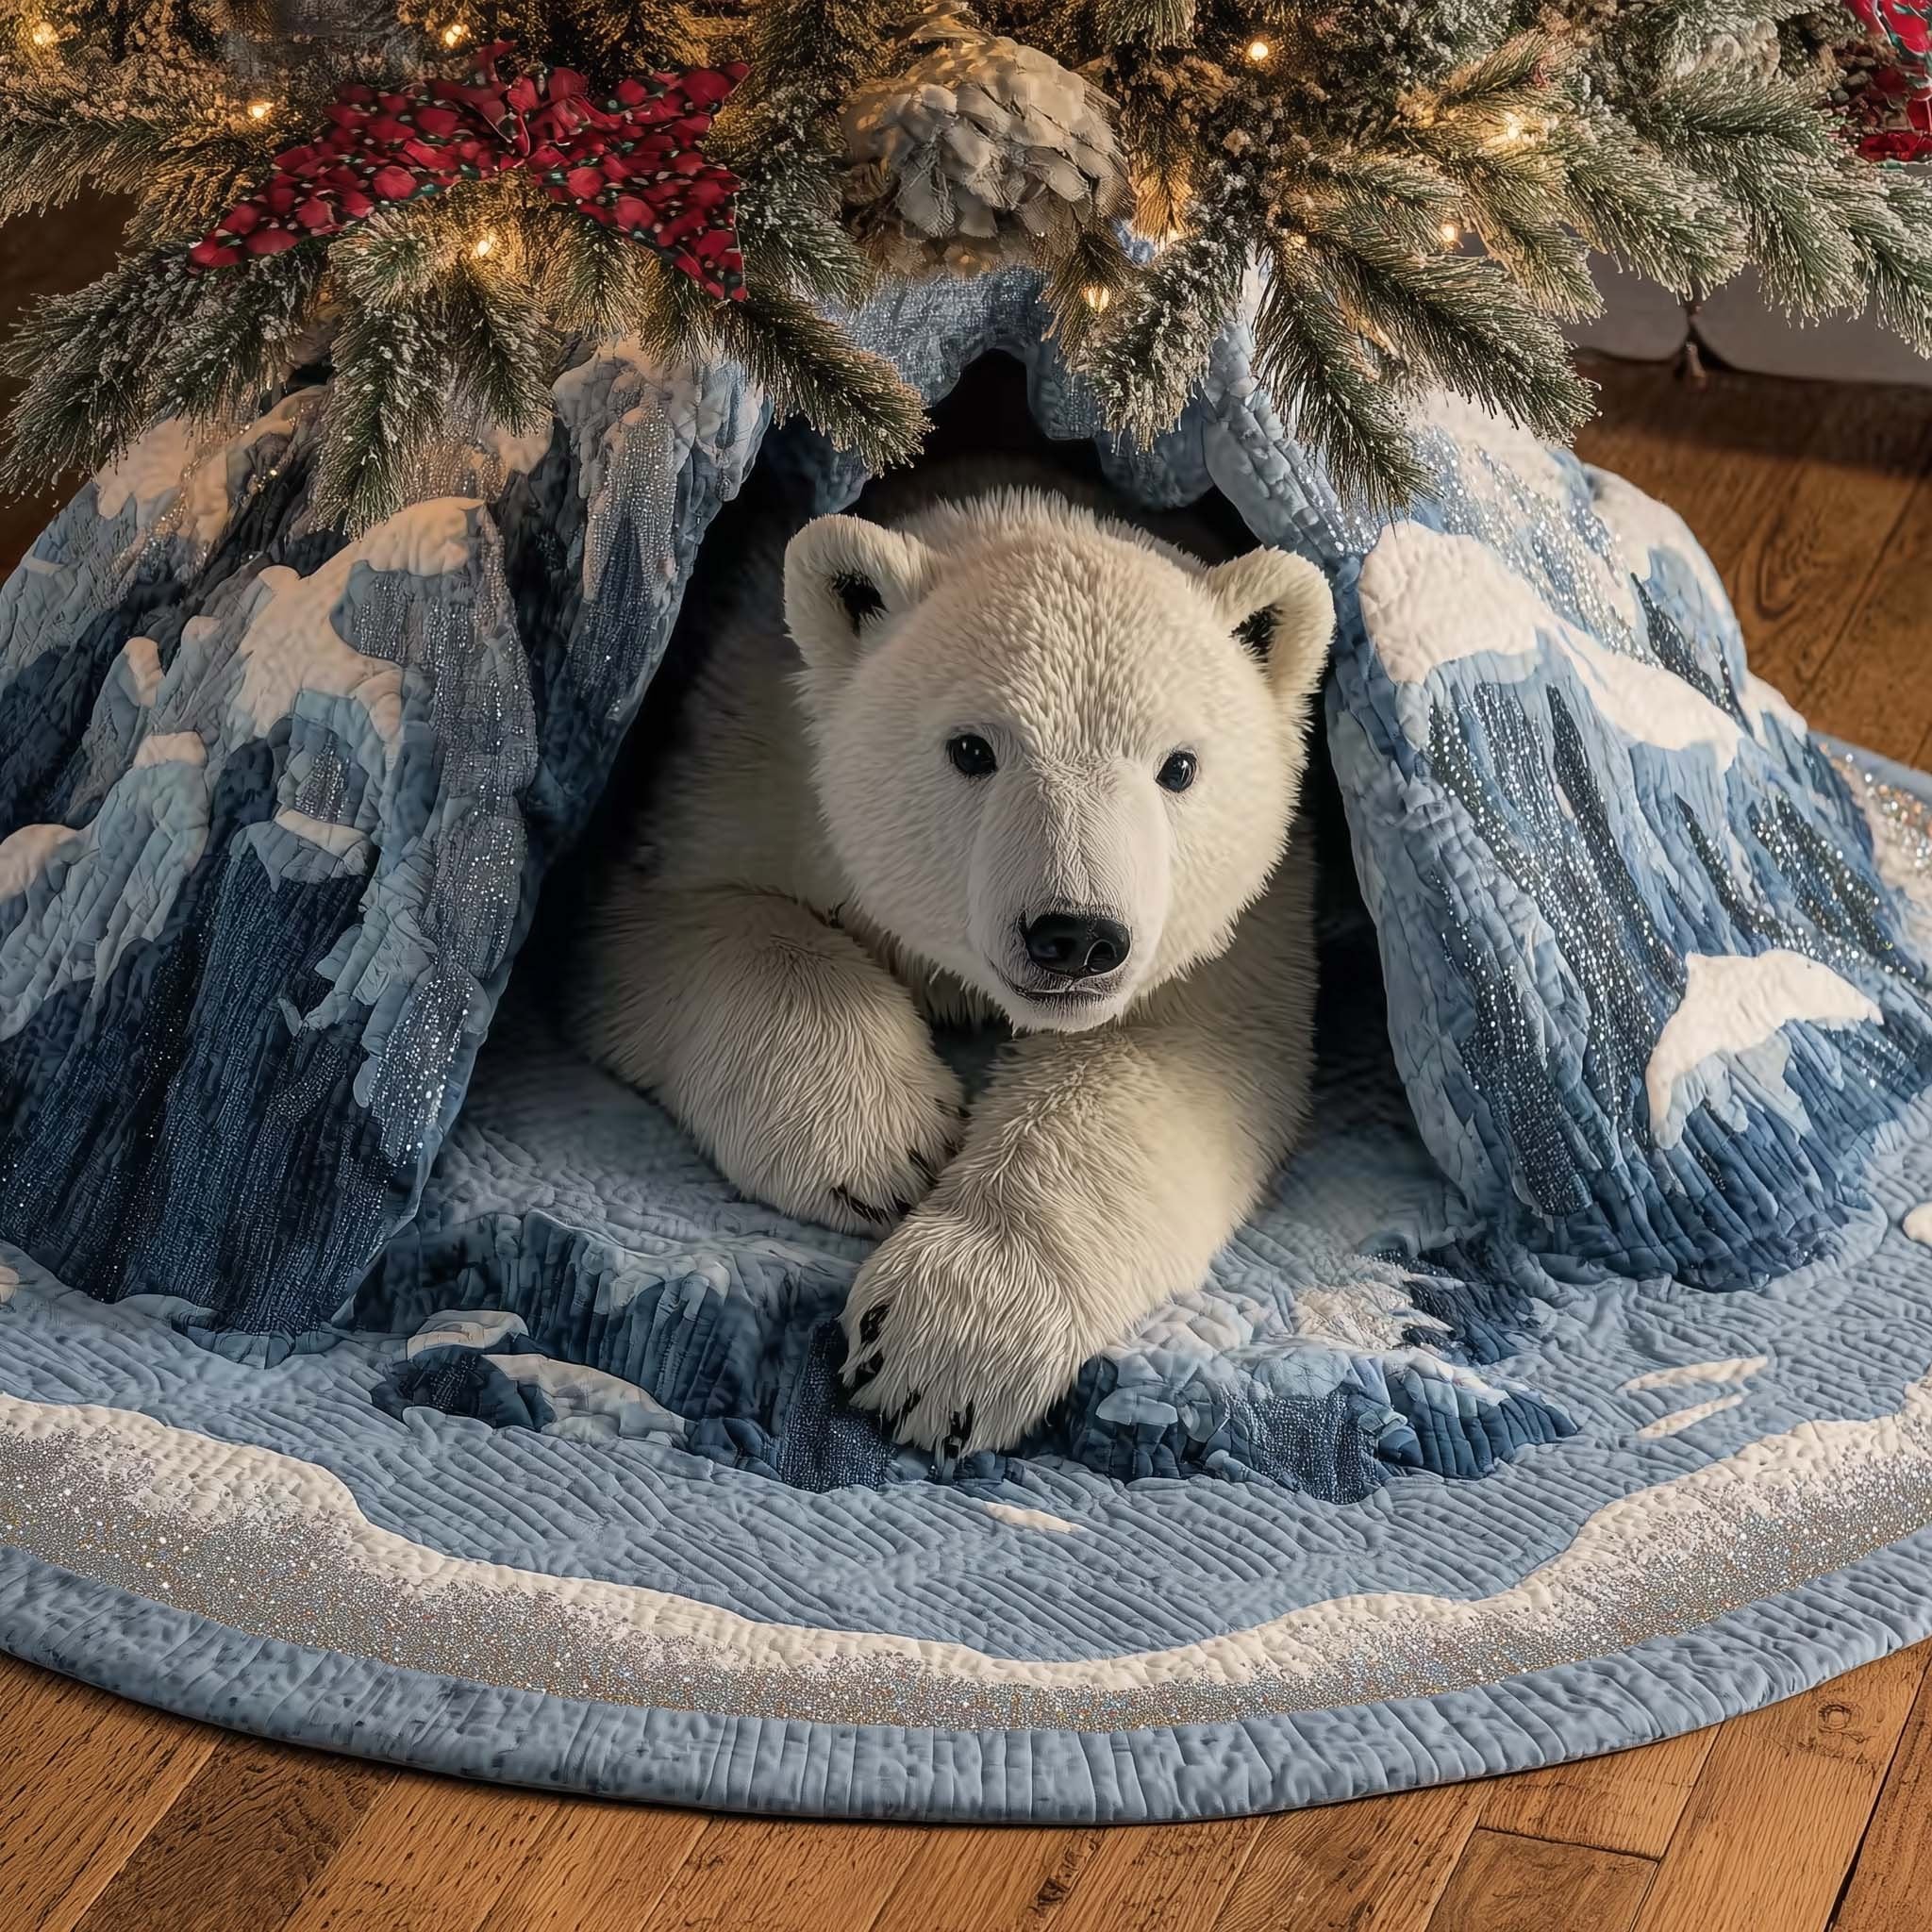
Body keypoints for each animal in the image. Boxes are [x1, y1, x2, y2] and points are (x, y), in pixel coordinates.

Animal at [570, 456, 1334, 1455]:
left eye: (1179, 766)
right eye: (971, 749)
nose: (1076, 935)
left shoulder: (1243, 914)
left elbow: (1181, 1054)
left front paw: (945, 1347)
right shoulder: (744, 759)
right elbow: (680, 918)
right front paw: (880, 1146)